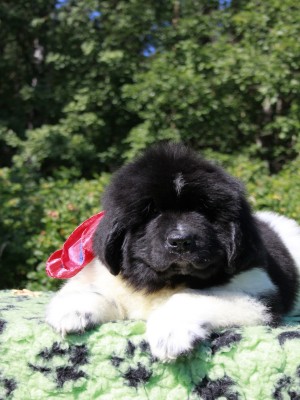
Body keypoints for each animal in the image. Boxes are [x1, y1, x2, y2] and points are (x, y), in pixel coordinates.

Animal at [46, 142, 300, 360]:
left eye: (203, 211)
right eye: (152, 212)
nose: (180, 240)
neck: (163, 283)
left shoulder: (258, 289)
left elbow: (191, 296)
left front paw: (170, 333)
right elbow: (93, 289)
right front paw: (73, 308)